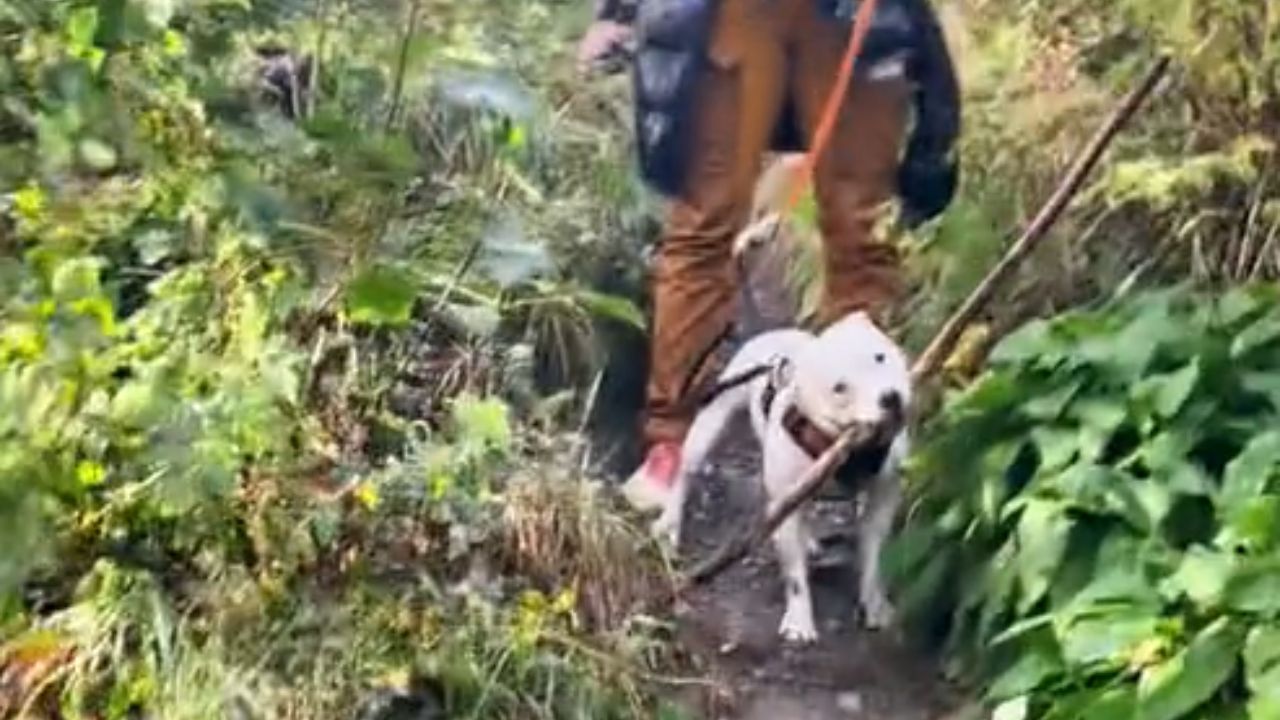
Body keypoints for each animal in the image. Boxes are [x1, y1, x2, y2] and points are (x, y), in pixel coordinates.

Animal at [655, 311, 916, 640]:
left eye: (880, 357)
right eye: (840, 388)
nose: (890, 397)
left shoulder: (883, 497)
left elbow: (875, 557)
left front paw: (876, 606)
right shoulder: (789, 506)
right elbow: (794, 575)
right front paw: (799, 622)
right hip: (712, 421)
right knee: (685, 473)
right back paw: (669, 524)